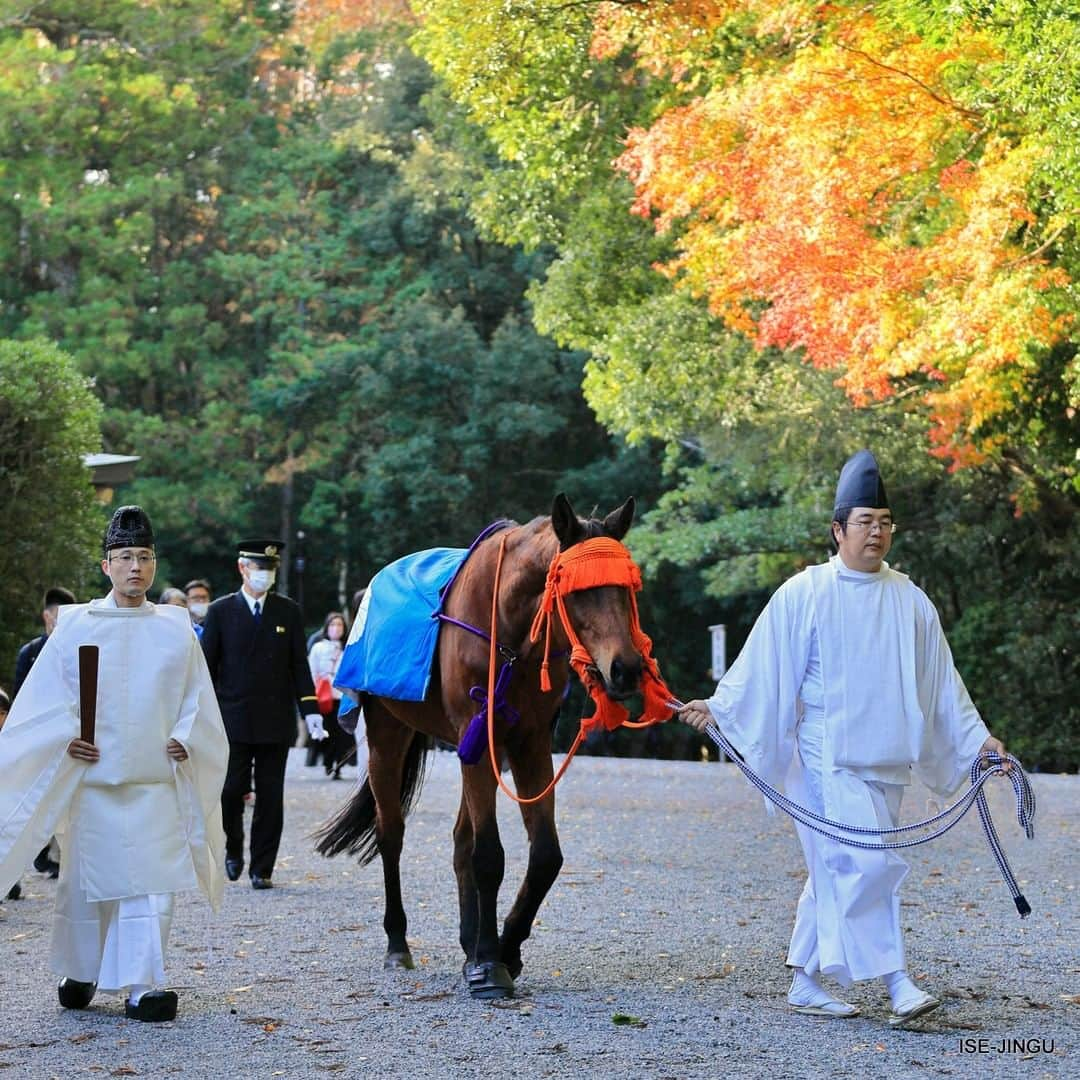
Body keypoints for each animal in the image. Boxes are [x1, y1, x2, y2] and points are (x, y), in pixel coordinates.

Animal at [315, 494, 643, 997]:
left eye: (626, 589)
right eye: (577, 592)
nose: (626, 668)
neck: (511, 635)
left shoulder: (528, 742)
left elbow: (544, 855)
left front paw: (503, 949)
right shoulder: (480, 731)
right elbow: (488, 855)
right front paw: (490, 964)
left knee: (459, 840)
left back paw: (470, 941)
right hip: (388, 735)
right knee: (392, 835)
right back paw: (399, 944)